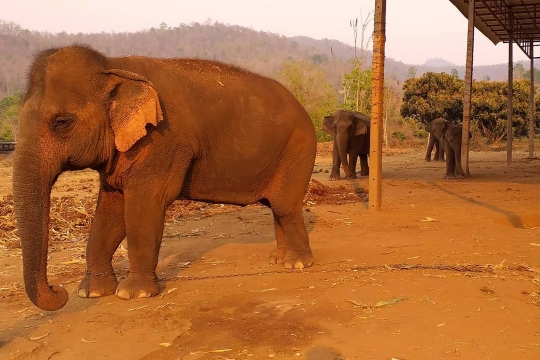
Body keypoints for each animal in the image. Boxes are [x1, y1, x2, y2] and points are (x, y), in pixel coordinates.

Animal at [11, 44, 316, 310]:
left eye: (62, 122)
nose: (58, 290)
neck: (112, 66)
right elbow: (110, 211)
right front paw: (92, 292)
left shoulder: (162, 142)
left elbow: (144, 205)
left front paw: (134, 294)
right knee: (276, 205)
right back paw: (277, 258)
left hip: (297, 149)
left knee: (285, 205)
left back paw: (297, 264)